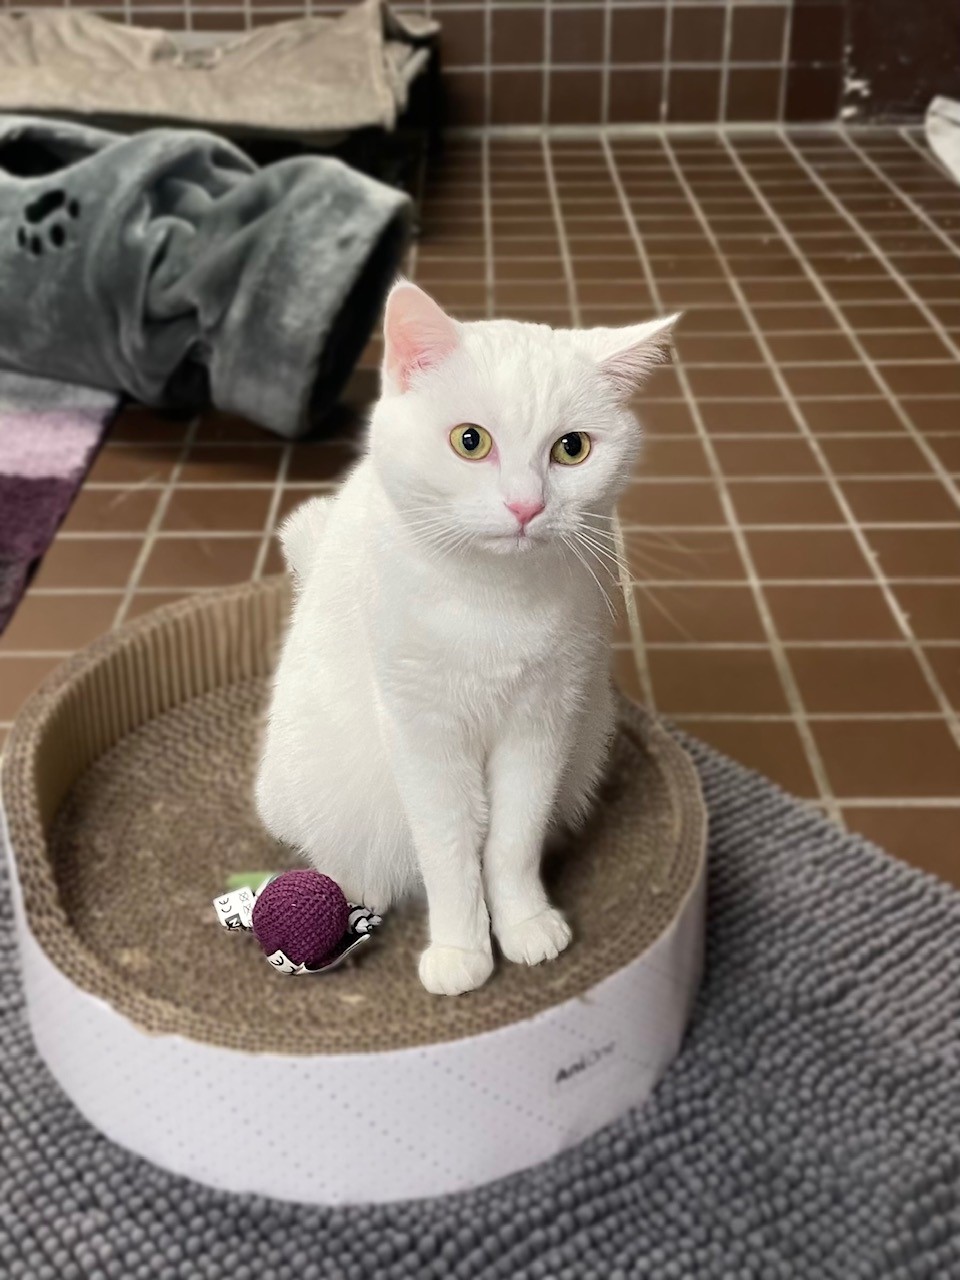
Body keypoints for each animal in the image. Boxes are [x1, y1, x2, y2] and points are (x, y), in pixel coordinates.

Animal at [255, 281, 677, 995]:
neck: (494, 600)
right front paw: (460, 950)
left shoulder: (543, 724)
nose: (525, 506)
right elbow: (450, 847)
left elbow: (510, 840)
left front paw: (525, 922)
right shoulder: (423, 733)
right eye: (470, 441)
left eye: (572, 449)